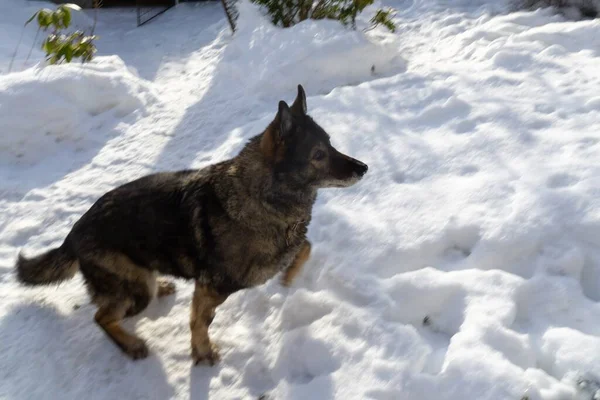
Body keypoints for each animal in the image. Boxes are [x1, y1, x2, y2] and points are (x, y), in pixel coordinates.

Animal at [16, 85, 368, 366]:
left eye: (331, 144)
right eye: (318, 154)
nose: (363, 168)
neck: (260, 195)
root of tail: (73, 234)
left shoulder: (287, 244)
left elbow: (305, 247)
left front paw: (288, 278)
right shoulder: (210, 287)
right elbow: (200, 322)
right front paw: (202, 352)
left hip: (138, 279)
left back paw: (162, 286)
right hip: (135, 292)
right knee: (101, 316)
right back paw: (131, 344)